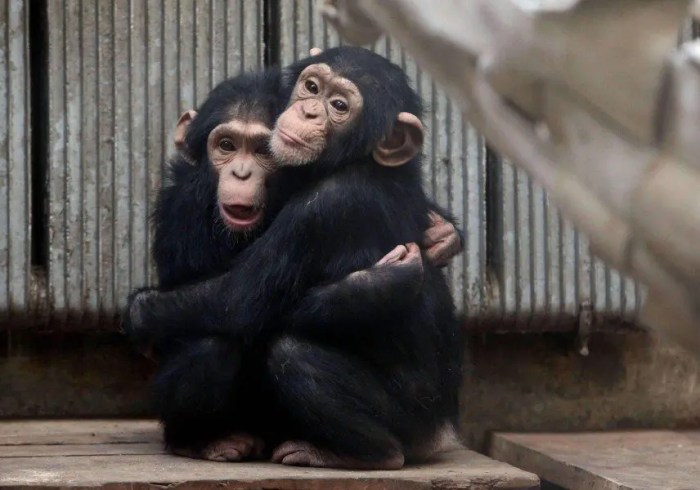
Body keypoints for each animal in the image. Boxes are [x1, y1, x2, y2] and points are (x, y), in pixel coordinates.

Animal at [126, 47, 464, 470]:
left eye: (339, 106)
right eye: (312, 87)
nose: (309, 112)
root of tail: (438, 433)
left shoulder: (324, 207)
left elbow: (240, 301)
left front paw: (141, 311)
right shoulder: (186, 206)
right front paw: (397, 273)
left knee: (290, 353)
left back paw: (360, 452)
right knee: (213, 345)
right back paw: (198, 441)